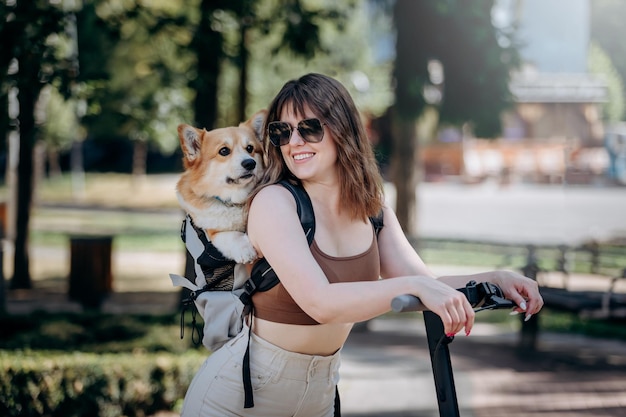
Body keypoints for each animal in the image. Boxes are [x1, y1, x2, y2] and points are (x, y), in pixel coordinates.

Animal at [176, 109, 266, 262]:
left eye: (250, 148)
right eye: (224, 151)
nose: (250, 163)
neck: (232, 201)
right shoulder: (212, 230)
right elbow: (229, 234)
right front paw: (245, 249)